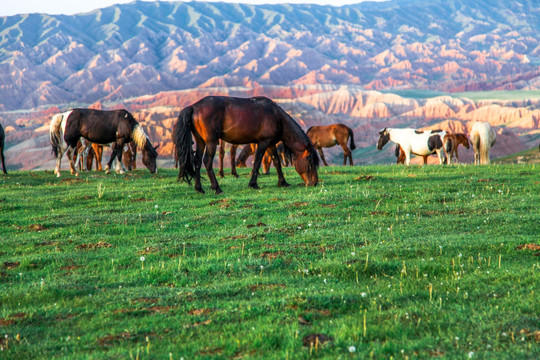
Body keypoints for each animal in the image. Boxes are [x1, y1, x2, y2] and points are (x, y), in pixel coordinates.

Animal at [173, 94, 318, 193]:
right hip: (211, 142)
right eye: (310, 162)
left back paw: (199, 188)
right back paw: (216, 187)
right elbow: (257, 162)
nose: (315, 183)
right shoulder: (263, 143)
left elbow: (276, 162)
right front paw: (253, 184)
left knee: (197, 161)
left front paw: (283, 182)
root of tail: (194, 107)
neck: (277, 117)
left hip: (201, 142)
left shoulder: (271, 144)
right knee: (207, 161)